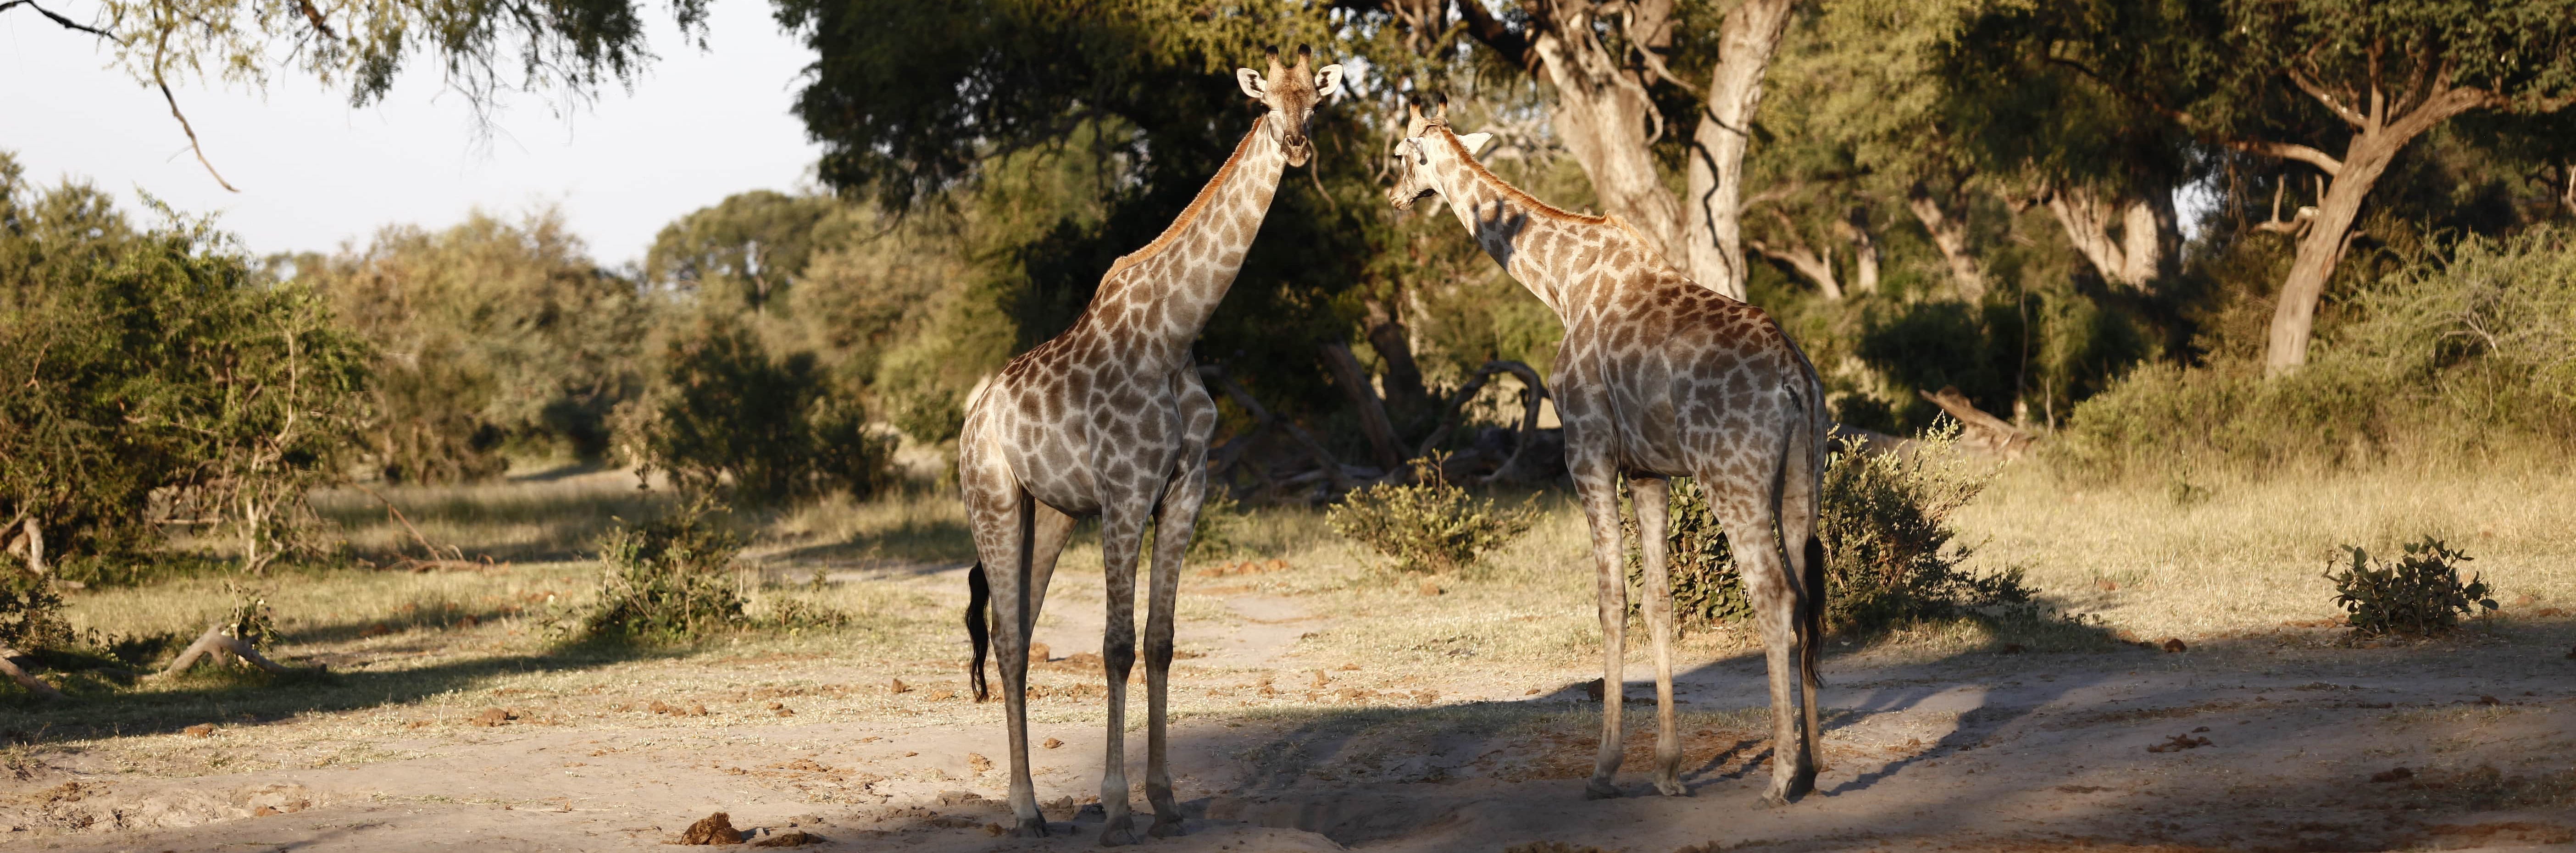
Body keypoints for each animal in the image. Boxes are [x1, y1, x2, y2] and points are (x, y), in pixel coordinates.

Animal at [953, 45, 1349, 840]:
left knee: (1019, 637)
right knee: (1007, 638)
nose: (1297, 145)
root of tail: (976, 415)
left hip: (1051, 514)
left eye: (1316, 102)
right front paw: (1115, 807)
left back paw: (1035, 806)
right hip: (994, 503)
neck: (1176, 334)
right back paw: (1026, 810)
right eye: (1268, 104)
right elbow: (1115, 645)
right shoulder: (1126, 492)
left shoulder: (1185, 492)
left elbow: (1161, 643)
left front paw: (1164, 801)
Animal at [1391, 104, 1834, 804]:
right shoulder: (1651, 472)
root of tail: (1797, 379)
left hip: (1730, 476)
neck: (1562, 283)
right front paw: (1668, 771)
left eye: (1402, 156)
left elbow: (1611, 601)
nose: (1394, 198)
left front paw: (1605, 767)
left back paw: (1780, 776)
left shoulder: (1588, 450)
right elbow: (1659, 602)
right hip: (1801, 477)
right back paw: (1813, 768)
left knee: (1773, 593)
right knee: (1808, 592)